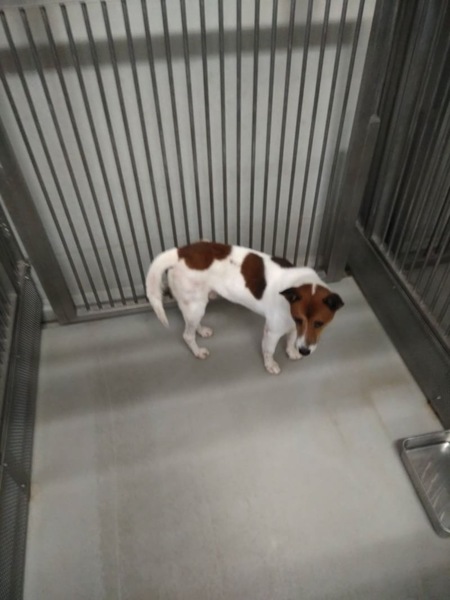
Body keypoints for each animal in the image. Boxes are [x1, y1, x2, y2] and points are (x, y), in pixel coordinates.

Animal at [146, 241, 343, 374]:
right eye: (300, 319)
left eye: (319, 323)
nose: (304, 351)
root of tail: (180, 252)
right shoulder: (273, 331)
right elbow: (269, 350)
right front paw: (270, 365)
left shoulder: (294, 327)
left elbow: (290, 340)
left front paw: (292, 351)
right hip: (195, 305)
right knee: (187, 335)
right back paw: (197, 351)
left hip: (196, 306)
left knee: (192, 325)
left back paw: (201, 331)